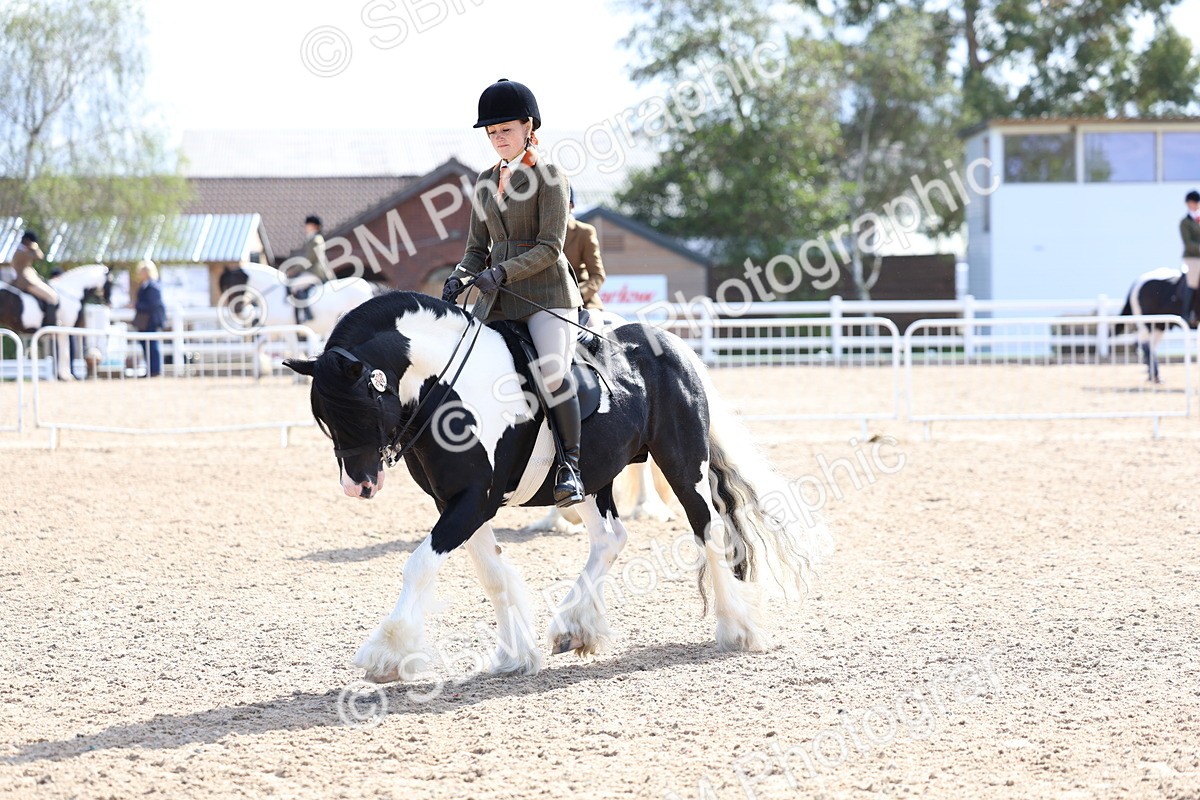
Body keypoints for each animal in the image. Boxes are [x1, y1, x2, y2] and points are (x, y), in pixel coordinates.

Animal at [218, 263, 384, 339]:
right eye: (224, 288)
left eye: (232, 286)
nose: (237, 310)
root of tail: (371, 286)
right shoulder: (273, 331)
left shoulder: (289, 331)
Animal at [284, 291, 829, 683]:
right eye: (325, 418)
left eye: (358, 405)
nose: (358, 487)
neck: (448, 386)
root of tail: (671, 343)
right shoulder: (456, 503)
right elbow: (492, 574)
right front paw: (515, 655)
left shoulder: (473, 501)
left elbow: (418, 565)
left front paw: (387, 653)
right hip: (592, 479)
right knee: (610, 538)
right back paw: (575, 628)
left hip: (682, 463)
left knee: (707, 531)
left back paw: (737, 628)